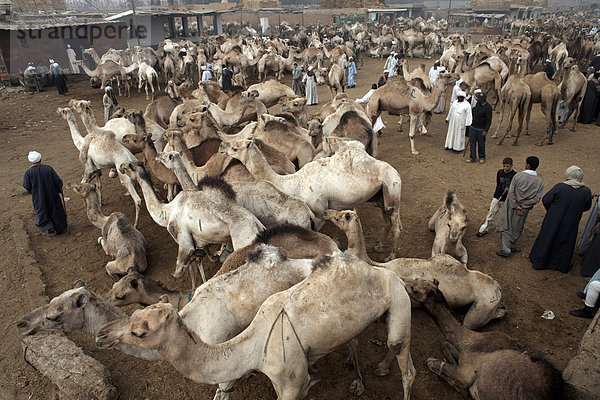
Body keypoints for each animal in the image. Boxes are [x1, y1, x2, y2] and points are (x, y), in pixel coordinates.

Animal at [97, 250, 418, 400]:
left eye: (140, 331)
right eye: (135, 317)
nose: (101, 335)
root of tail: (386, 272)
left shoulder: (291, 382)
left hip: (399, 298)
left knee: (406, 364)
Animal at [118, 162, 264, 284]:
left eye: (129, 166)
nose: (120, 167)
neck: (167, 211)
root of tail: (258, 226)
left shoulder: (182, 239)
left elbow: (182, 269)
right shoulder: (197, 240)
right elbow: (198, 260)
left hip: (243, 241)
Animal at [406, 278, 564, 400]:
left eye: (415, 289)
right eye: (416, 280)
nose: (404, 283)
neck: (471, 340)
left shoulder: (465, 373)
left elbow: (431, 362)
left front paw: (461, 389)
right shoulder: (466, 354)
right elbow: (445, 343)